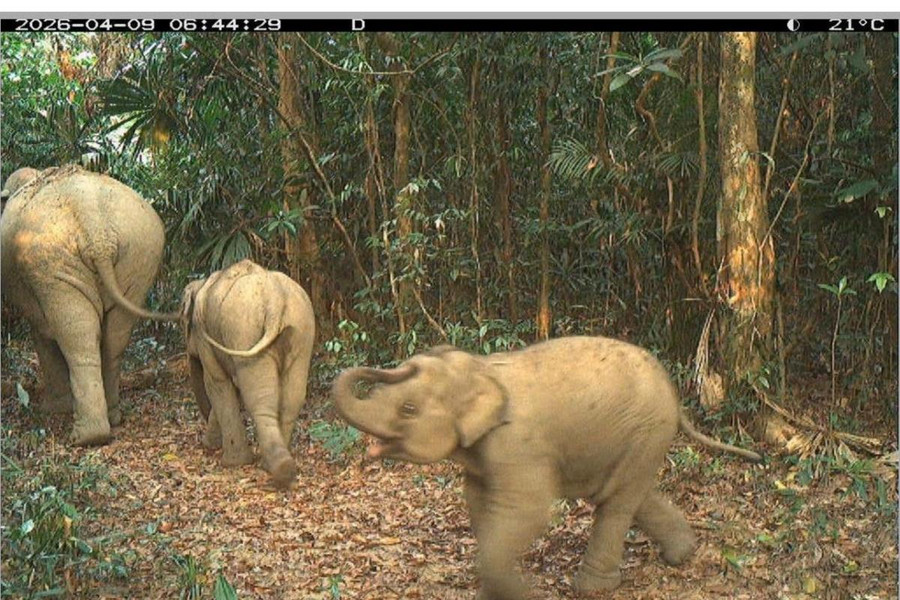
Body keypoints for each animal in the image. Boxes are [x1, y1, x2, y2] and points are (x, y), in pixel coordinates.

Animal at [1, 165, 176, 446]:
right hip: (139, 257)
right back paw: (112, 418)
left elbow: (43, 335)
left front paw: (52, 410)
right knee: (115, 337)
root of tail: (98, 233)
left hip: (52, 263)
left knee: (77, 335)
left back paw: (86, 437)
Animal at [180, 259, 315, 489]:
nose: (207, 444)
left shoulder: (205, 338)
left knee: (258, 398)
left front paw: (230, 461)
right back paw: (276, 464)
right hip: (301, 331)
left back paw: (278, 469)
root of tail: (276, 300)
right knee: (292, 398)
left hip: (243, 331)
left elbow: (216, 383)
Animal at [332, 336, 762, 600]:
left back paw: (593, 587)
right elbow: (479, 502)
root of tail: (674, 393)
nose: (403, 364)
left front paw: (518, 593)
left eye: (408, 409)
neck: (480, 369)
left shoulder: (519, 444)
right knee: (631, 493)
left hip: (648, 428)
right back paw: (682, 555)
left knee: (617, 501)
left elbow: (529, 511)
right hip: (640, 437)